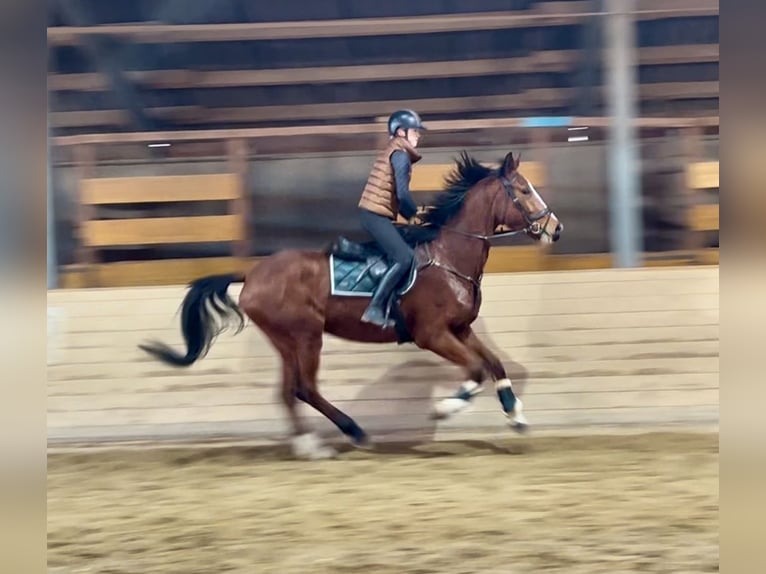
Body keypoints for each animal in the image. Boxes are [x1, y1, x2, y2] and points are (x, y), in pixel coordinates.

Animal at [141, 151, 564, 462]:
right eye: (524, 190)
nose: (555, 228)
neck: (449, 257)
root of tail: (252, 274)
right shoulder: (432, 334)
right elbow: (476, 368)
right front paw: (445, 409)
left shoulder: (461, 329)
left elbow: (495, 364)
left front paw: (516, 415)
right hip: (306, 336)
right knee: (306, 389)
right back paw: (354, 432)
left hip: (286, 341)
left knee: (289, 392)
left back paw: (309, 447)